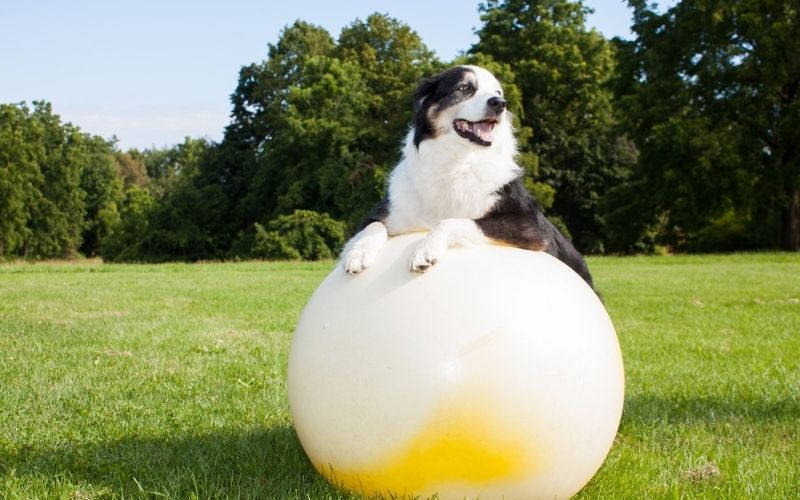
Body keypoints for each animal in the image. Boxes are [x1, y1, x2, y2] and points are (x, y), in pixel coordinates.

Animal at [340, 65, 592, 290]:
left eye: (498, 93)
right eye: (464, 88)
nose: (499, 104)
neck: (458, 162)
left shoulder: (529, 226)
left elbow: (453, 221)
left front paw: (425, 249)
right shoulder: (387, 212)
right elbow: (373, 226)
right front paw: (357, 253)